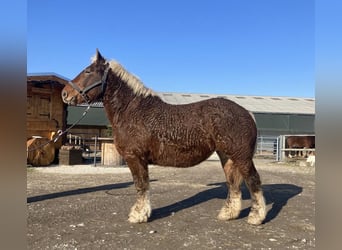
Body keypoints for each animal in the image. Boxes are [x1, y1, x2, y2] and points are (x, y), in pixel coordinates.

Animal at [60, 48, 268, 225]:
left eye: (88, 71)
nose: (64, 94)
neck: (133, 111)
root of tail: (247, 113)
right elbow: (142, 185)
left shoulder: (135, 158)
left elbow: (141, 185)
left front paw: (138, 215)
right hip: (227, 156)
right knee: (233, 183)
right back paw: (228, 214)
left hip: (241, 157)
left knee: (253, 181)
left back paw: (256, 217)